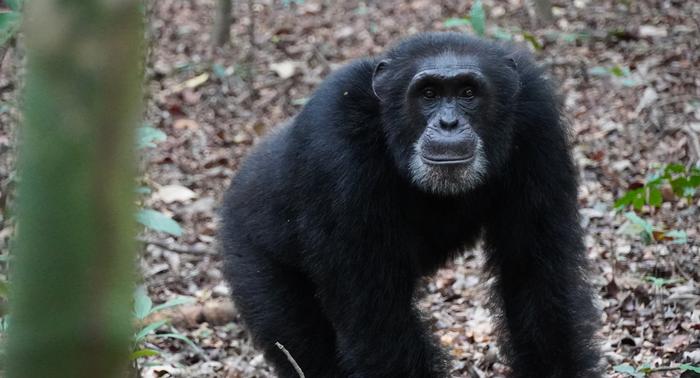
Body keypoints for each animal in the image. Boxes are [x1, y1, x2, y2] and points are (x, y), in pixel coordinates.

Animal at [220, 33, 600, 378]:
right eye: (428, 94)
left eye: (468, 93)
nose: (448, 123)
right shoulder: (334, 140)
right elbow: (377, 320)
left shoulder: (538, 123)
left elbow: (536, 275)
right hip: (251, 259)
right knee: (303, 340)